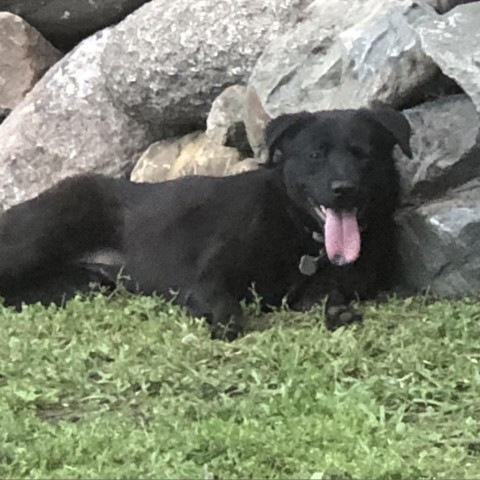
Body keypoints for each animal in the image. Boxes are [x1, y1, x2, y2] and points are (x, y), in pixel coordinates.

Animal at [0, 108, 412, 342]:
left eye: (363, 155)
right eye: (316, 155)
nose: (344, 190)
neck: (301, 235)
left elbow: (326, 296)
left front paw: (337, 311)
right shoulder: (203, 278)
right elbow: (227, 310)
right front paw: (222, 324)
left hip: (81, 283)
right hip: (38, 240)